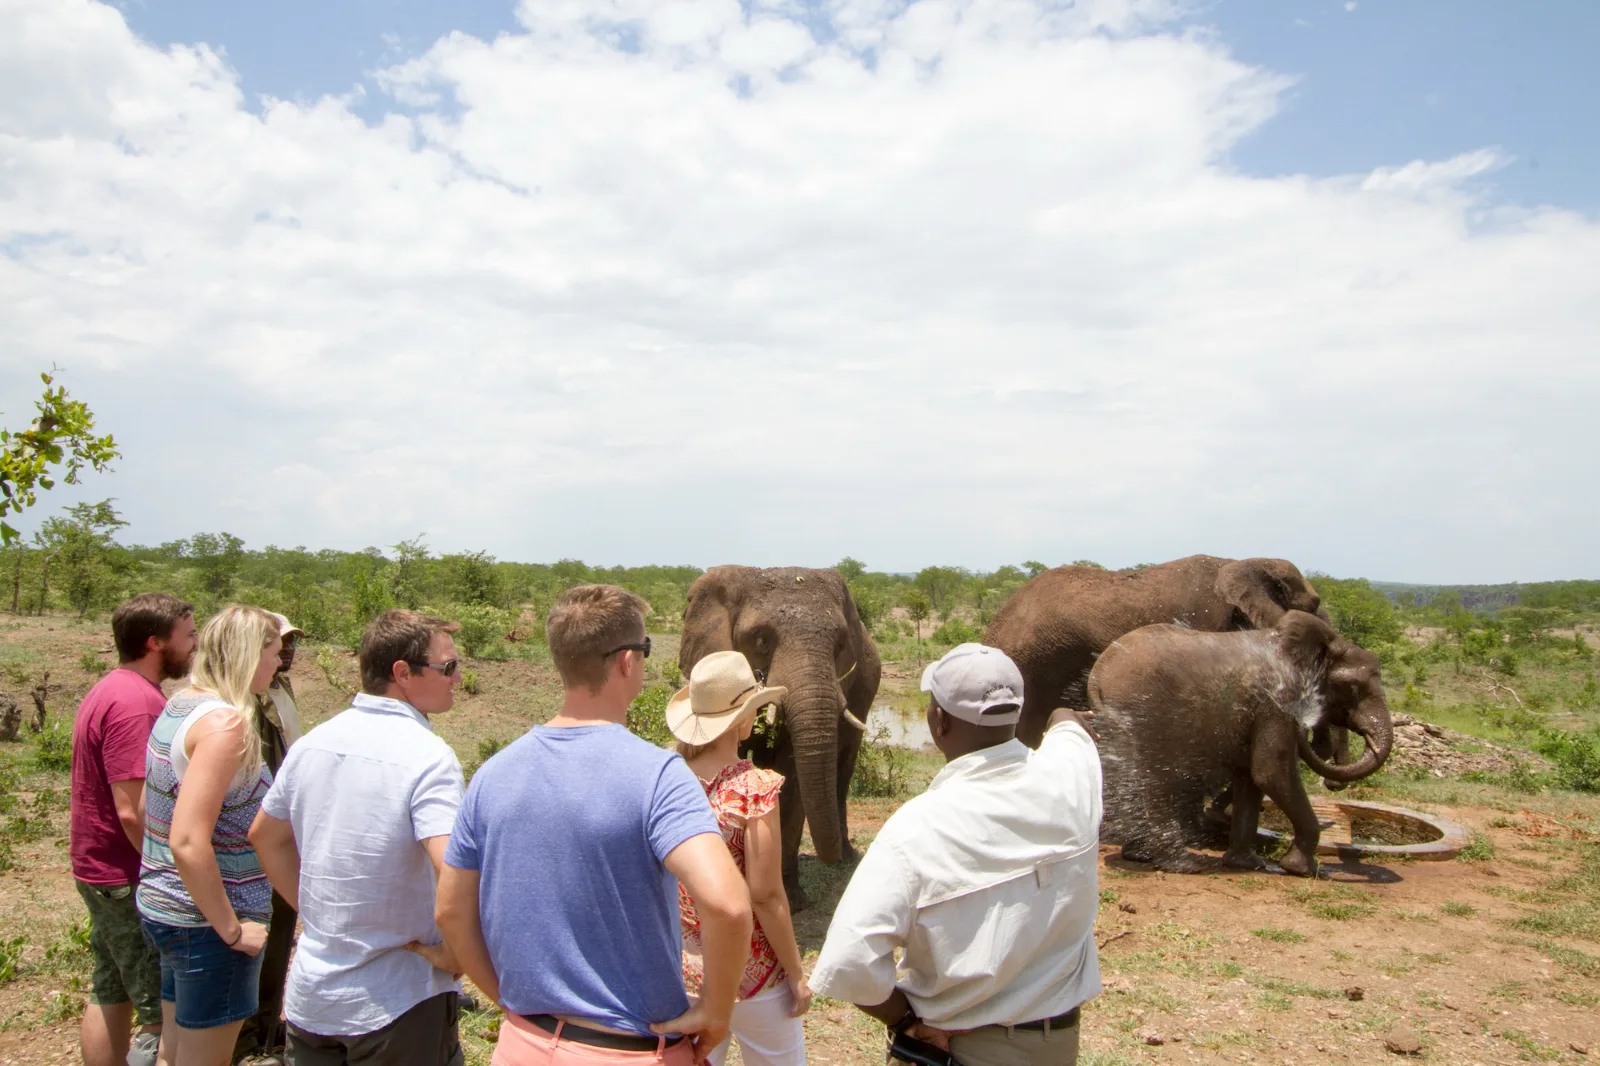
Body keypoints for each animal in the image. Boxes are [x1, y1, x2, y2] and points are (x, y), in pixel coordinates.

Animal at [679, 566, 882, 909]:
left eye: (841, 645)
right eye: (761, 640)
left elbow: (793, 776)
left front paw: (793, 901)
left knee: (843, 769)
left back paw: (847, 858)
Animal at [1087, 610, 1394, 877]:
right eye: (1353, 688)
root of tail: (1098, 675)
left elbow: (1251, 777)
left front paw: (1247, 865)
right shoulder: (1278, 702)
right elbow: (1272, 772)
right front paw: (1302, 870)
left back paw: (1140, 855)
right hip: (1147, 714)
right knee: (1155, 779)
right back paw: (1183, 864)